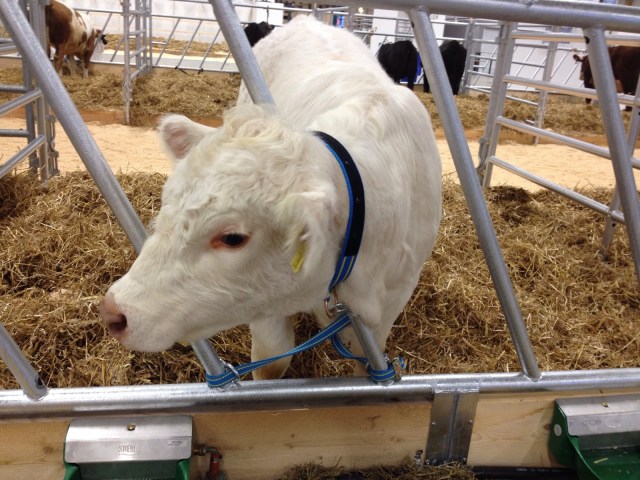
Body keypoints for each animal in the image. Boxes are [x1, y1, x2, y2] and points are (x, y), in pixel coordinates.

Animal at [99, 15, 442, 381]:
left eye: (232, 237)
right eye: (168, 204)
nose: (114, 311)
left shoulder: (392, 301)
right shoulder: (263, 303)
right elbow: (272, 358)